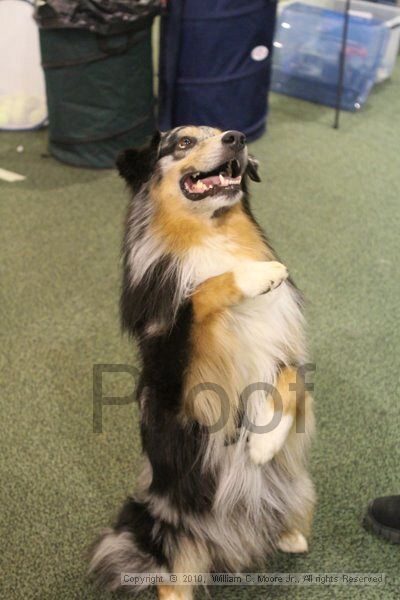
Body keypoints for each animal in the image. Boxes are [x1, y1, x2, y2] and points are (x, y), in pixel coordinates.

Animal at [88, 126, 316, 600]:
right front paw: (259, 273)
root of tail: (228, 547)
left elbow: (287, 379)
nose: (238, 137)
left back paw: (289, 535)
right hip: (164, 526)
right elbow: (201, 292)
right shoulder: (179, 380)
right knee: (170, 581)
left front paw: (264, 443)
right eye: (182, 142)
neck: (210, 235)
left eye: (222, 131)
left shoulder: (288, 352)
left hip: (297, 486)